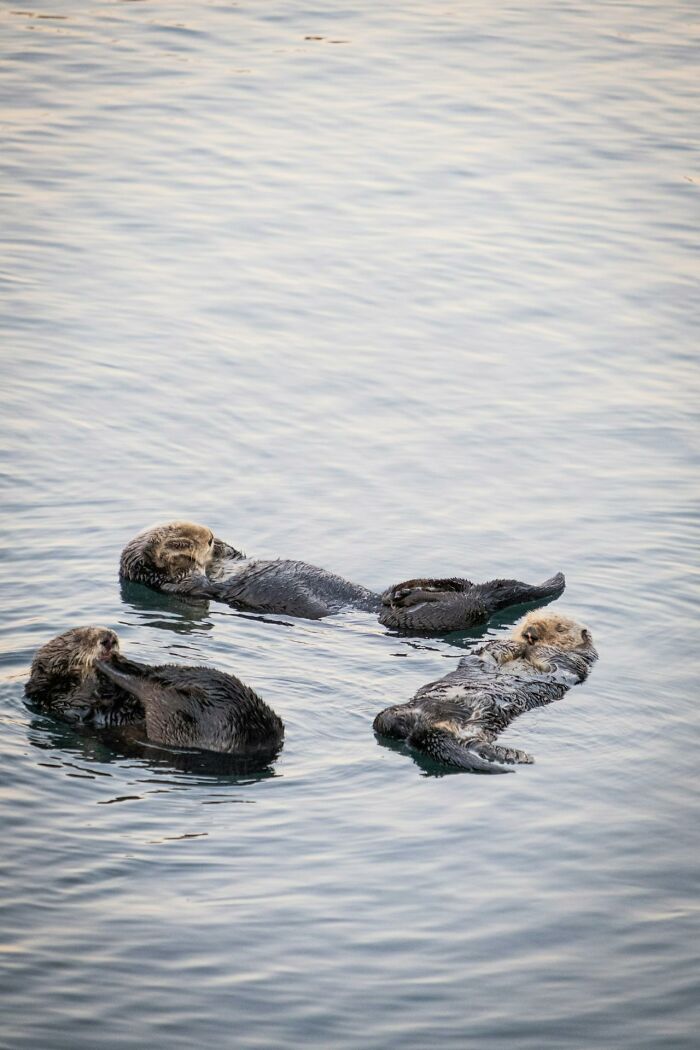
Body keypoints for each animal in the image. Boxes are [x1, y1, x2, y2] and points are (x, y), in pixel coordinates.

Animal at [373, 611, 597, 772]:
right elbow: (491, 650)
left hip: (481, 721)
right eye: (528, 621)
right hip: (403, 713)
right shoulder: (489, 650)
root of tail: (421, 723)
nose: (531, 632)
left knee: (470, 743)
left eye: (560, 628)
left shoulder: (572, 664)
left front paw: (538, 647)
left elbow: (554, 659)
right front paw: (514, 644)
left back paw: (515, 756)